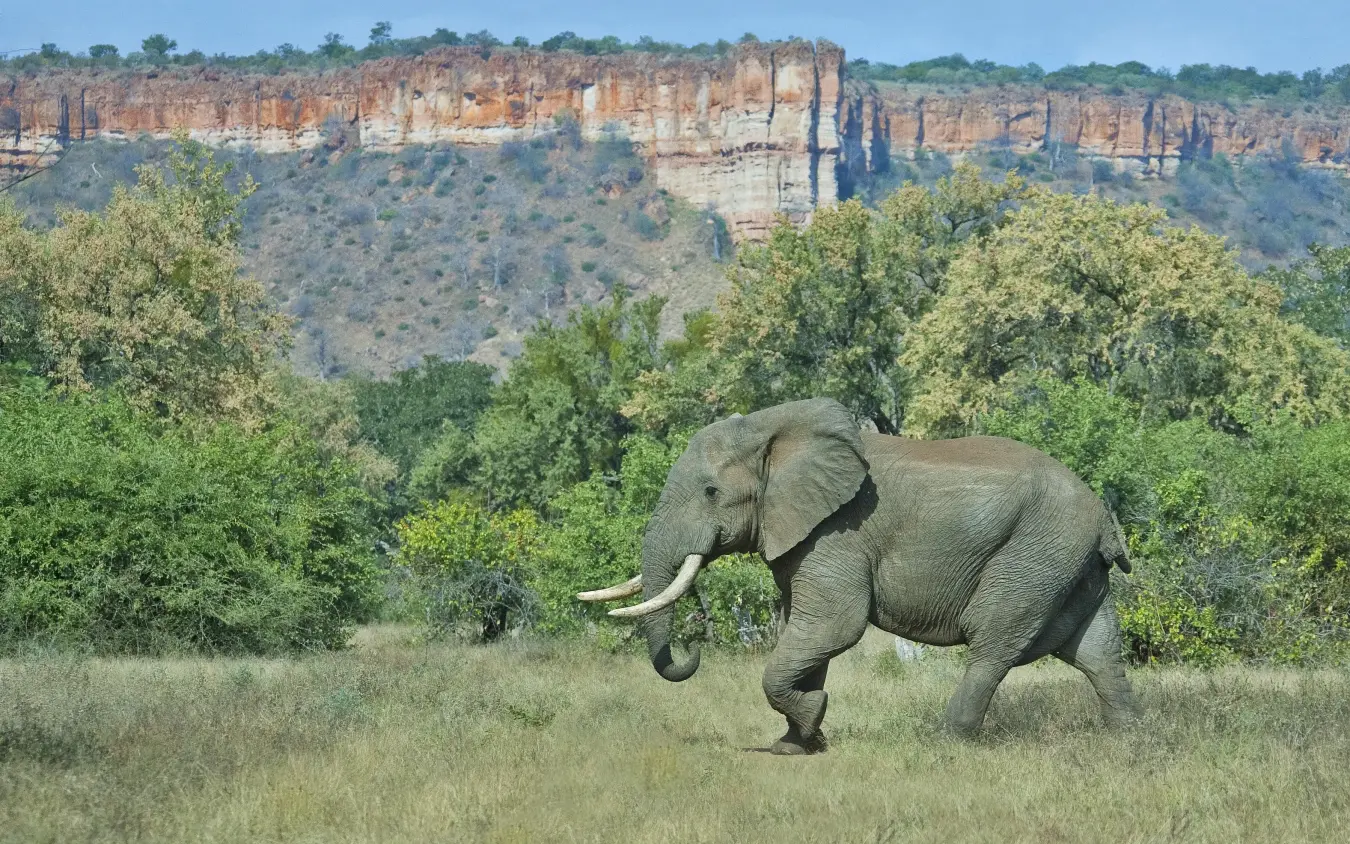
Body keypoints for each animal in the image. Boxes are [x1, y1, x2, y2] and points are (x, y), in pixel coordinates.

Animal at [580, 397, 1140, 755]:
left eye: (712, 492)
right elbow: (806, 632)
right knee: (1098, 652)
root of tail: (1102, 516)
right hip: (1069, 563)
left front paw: (811, 721)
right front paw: (795, 745)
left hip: (1035, 553)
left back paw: (946, 743)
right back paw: (1131, 740)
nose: (692, 648)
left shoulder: (837, 533)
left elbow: (832, 626)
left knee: (993, 643)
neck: (772, 429)